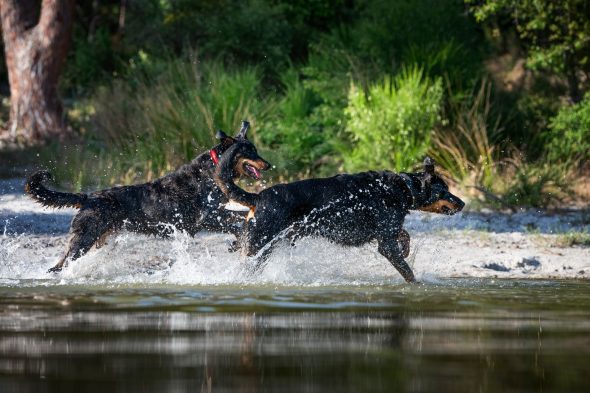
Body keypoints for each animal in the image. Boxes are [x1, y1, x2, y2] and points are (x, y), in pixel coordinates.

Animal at [24, 121, 270, 272]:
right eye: (250, 152)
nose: (268, 164)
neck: (213, 169)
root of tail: (88, 197)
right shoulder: (207, 217)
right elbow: (235, 222)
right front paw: (238, 240)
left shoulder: (215, 213)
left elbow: (239, 218)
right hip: (83, 239)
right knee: (60, 265)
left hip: (97, 240)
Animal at [215, 139, 464, 284]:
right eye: (444, 191)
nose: (462, 203)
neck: (403, 189)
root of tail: (258, 197)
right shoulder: (385, 244)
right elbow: (407, 271)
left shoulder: (389, 232)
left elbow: (405, 235)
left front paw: (406, 248)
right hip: (258, 247)